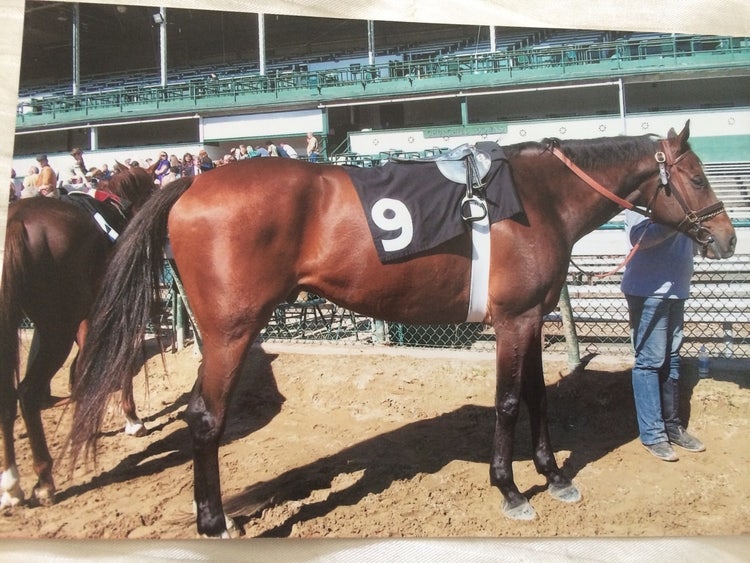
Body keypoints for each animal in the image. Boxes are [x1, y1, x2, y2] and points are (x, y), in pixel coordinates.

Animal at [0, 166, 156, 508]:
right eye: (153, 187)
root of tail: (16, 222)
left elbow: (86, 364)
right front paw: (132, 419)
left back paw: (12, 485)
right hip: (56, 327)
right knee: (28, 392)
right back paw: (44, 480)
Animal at [69, 122, 736, 537]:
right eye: (698, 177)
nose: (727, 239)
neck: (537, 197)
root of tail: (192, 181)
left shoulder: (531, 317)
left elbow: (539, 396)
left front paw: (554, 476)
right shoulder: (513, 320)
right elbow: (509, 402)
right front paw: (511, 489)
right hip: (231, 331)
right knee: (205, 417)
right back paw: (214, 523)